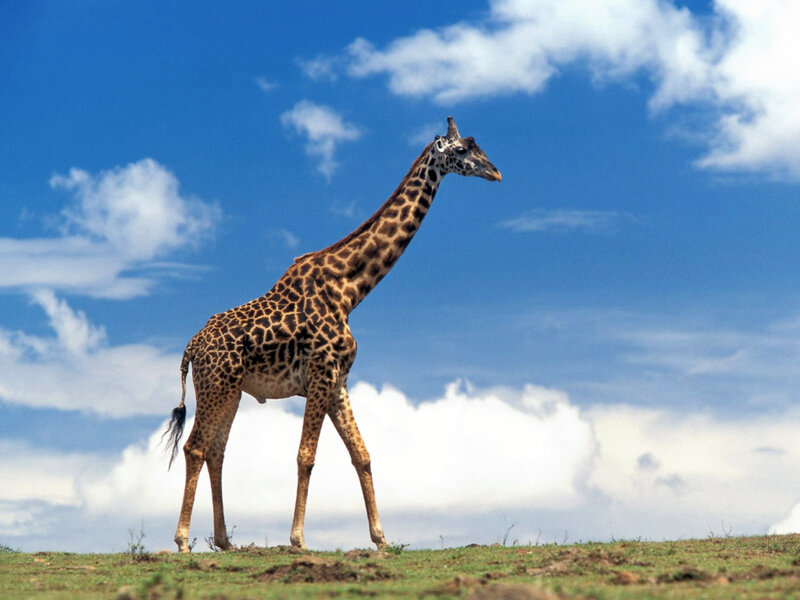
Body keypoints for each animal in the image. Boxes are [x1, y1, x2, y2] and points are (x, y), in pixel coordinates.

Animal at [163, 116, 501, 552]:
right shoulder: (321, 373)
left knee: (216, 451)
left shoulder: (338, 380)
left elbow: (363, 454)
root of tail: (190, 348)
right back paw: (183, 541)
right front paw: (298, 539)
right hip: (217, 385)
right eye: (462, 150)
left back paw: (224, 541)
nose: (495, 172)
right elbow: (306, 455)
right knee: (195, 447)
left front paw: (380, 539)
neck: (351, 290)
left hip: (230, 390)